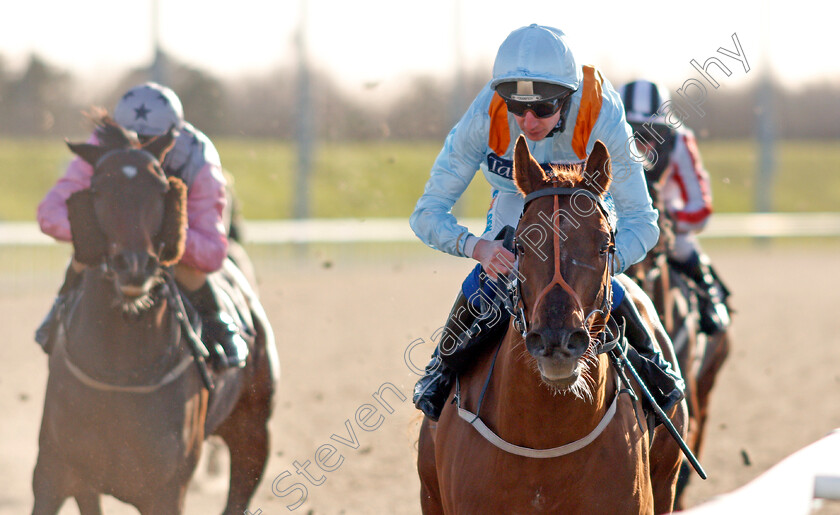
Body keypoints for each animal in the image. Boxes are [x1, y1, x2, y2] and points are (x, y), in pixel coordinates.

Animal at [31, 119, 280, 512]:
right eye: (98, 188)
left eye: (162, 188)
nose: (134, 265)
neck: (120, 373)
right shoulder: (54, 470)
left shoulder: (166, 489)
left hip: (254, 431)